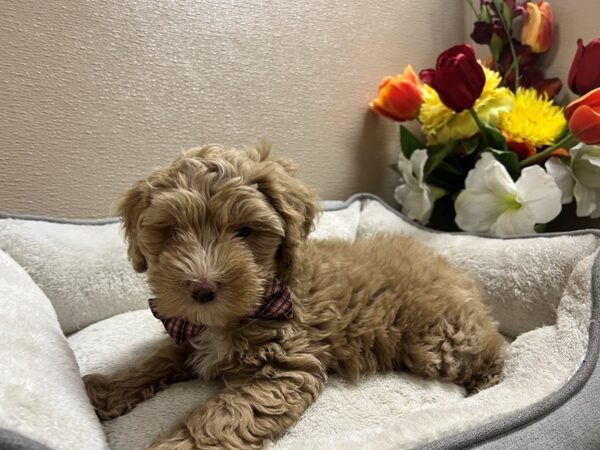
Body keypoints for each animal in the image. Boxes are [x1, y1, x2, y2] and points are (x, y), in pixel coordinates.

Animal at [83, 143, 506, 450]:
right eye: (171, 231)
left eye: (245, 232)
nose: (202, 288)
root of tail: (454, 270)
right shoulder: (188, 336)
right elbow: (156, 361)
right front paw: (108, 389)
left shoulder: (287, 368)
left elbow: (221, 416)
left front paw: (175, 445)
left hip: (439, 342)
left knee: (494, 347)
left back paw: (487, 386)